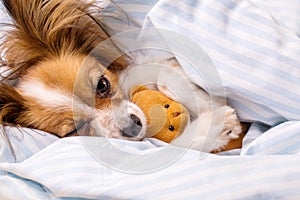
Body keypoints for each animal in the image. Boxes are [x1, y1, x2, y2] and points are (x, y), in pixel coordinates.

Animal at [0, 0, 244, 152]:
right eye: (74, 130)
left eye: (102, 85)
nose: (133, 126)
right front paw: (217, 124)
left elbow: (165, 75)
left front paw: (206, 102)